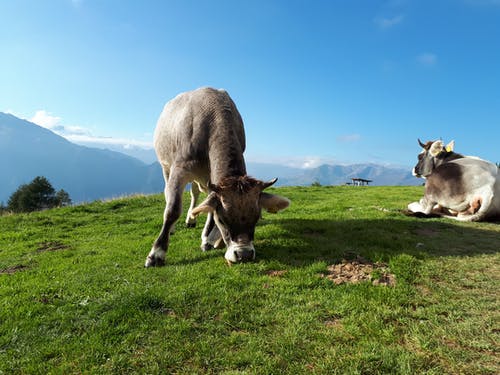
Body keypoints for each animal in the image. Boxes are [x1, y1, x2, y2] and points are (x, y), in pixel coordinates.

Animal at [145, 87, 292, 268]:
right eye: (223, 220)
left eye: (257, 218)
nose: (244, 254)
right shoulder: (180, 169)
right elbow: (173, 209)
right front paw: (156, 254)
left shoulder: (212, 179)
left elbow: (209, 207)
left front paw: (207, 239)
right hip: (166, 166)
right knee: (171, 194)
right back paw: (175, 227)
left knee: (195, 194)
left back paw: (192, 220)